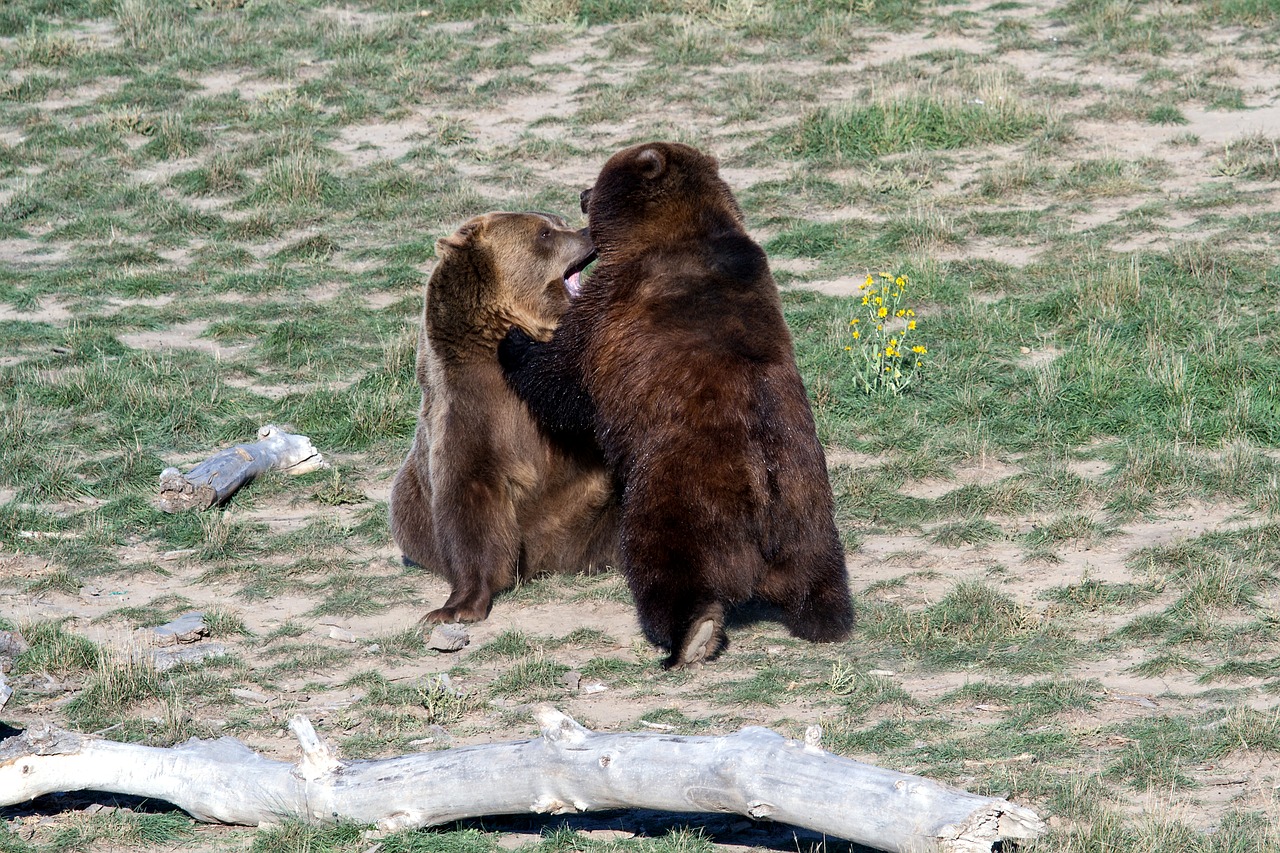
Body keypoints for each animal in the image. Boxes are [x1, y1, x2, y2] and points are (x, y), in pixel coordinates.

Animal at [389, 211, 619, 625]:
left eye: (557, 220)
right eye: (544, 233)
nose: (589, 231)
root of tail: (553, 560)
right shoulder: (469, 409)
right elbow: (468, 499)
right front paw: (457, 607)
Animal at [499, 142, 849, 666]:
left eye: (599, 178)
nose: (581, 193)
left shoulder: (612, 307)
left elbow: (563, 381)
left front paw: (514, 341)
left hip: (677, 499)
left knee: (665, 569)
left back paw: (692, 635)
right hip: (809, 508)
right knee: (821, 573)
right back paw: (829, 619)